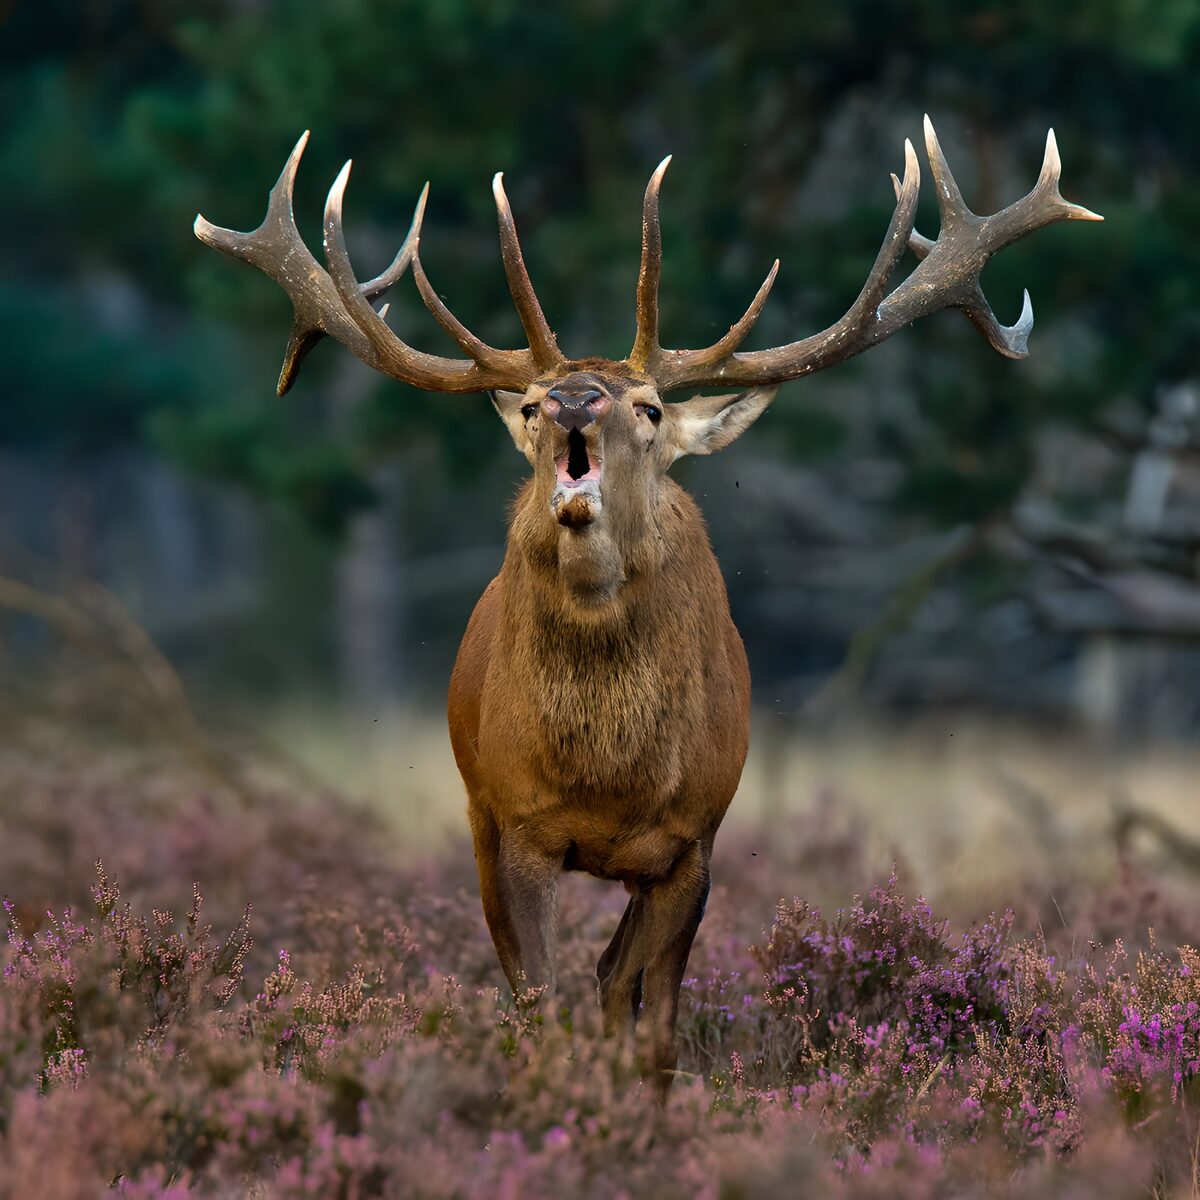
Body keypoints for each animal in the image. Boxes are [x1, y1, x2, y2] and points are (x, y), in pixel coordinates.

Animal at [195, 117, 1101, 1094]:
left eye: (652, 407)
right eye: (527, 404)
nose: (570, 400)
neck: (610, 777)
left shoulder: (691, 842)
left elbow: (651, 1018)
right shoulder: (516, 824)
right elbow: (540, 1000)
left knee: (613, 981)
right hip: (476, 812)